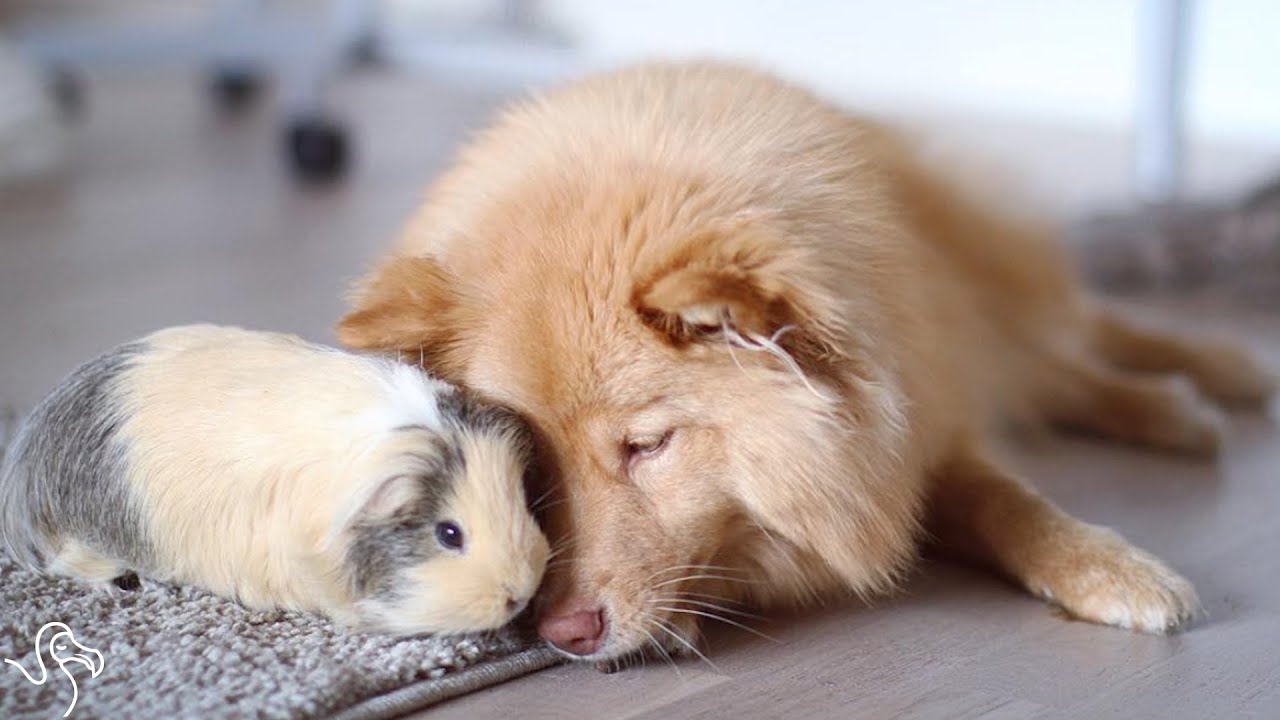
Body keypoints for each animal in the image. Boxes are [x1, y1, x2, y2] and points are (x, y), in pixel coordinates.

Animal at [335, 61, 1274, 661]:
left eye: (648, 447)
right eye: (527, 463)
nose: (560, 635)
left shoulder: (915, 417)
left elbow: (1010, 499)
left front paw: (1112, 569)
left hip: (981, 291)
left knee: (1076, 346)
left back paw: (1202, 383)